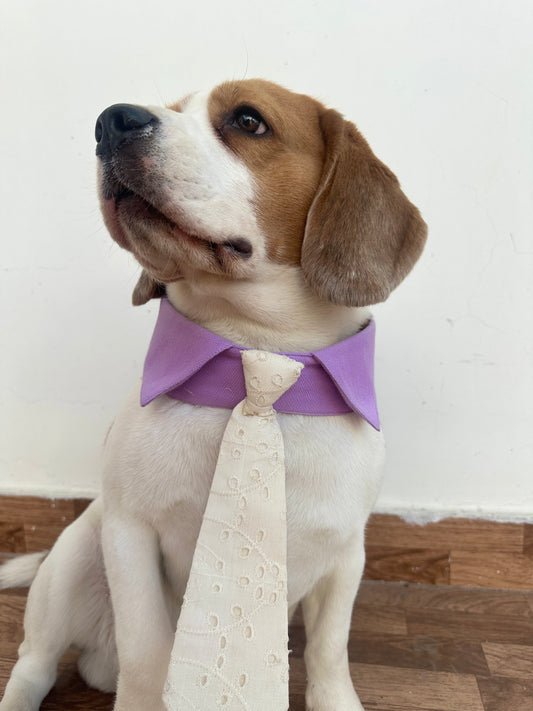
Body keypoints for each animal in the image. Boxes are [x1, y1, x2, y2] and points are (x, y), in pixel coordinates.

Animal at [0, 79, 424, 711]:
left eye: (248, 121)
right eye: (173, 109)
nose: (111, 121)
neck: (255, 358)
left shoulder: (346, 557)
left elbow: (329, 656)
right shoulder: (129, 535)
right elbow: (147, 659)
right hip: (75, 555)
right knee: (36, 663)